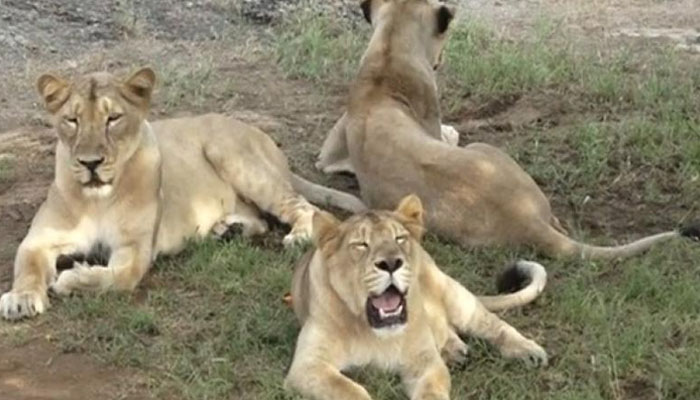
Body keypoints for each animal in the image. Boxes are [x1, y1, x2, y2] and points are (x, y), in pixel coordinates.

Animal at [0, 67, 366, 320]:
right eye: (72, 120)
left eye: (113, 118)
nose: (90, 163)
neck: (97, 199)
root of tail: (261, 134)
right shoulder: (40, 239)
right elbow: (27, 268)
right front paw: (20, 299)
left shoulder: (136, 250)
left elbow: (117, 278)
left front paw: (71, 279)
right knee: (261, 219)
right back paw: (228, 229)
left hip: (232, 155)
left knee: (307, 208)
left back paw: (298, 235)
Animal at [285, 194, 548, 400]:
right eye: (361, 244)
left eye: (399, 238)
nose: (392, 262)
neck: (373, 331)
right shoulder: (309, 365)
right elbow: (349, 390)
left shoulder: (425, 362)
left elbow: (431, 390)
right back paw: (455, 351)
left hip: (453, 295)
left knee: (494, 325)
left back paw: (529, 351)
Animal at [315, 0, 700, 259]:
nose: (441, 60)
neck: (389, 51)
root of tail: (526, 221)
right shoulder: (433, 122)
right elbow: (449, 133)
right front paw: (453, 131)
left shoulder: (329, 152)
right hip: (487, 150)